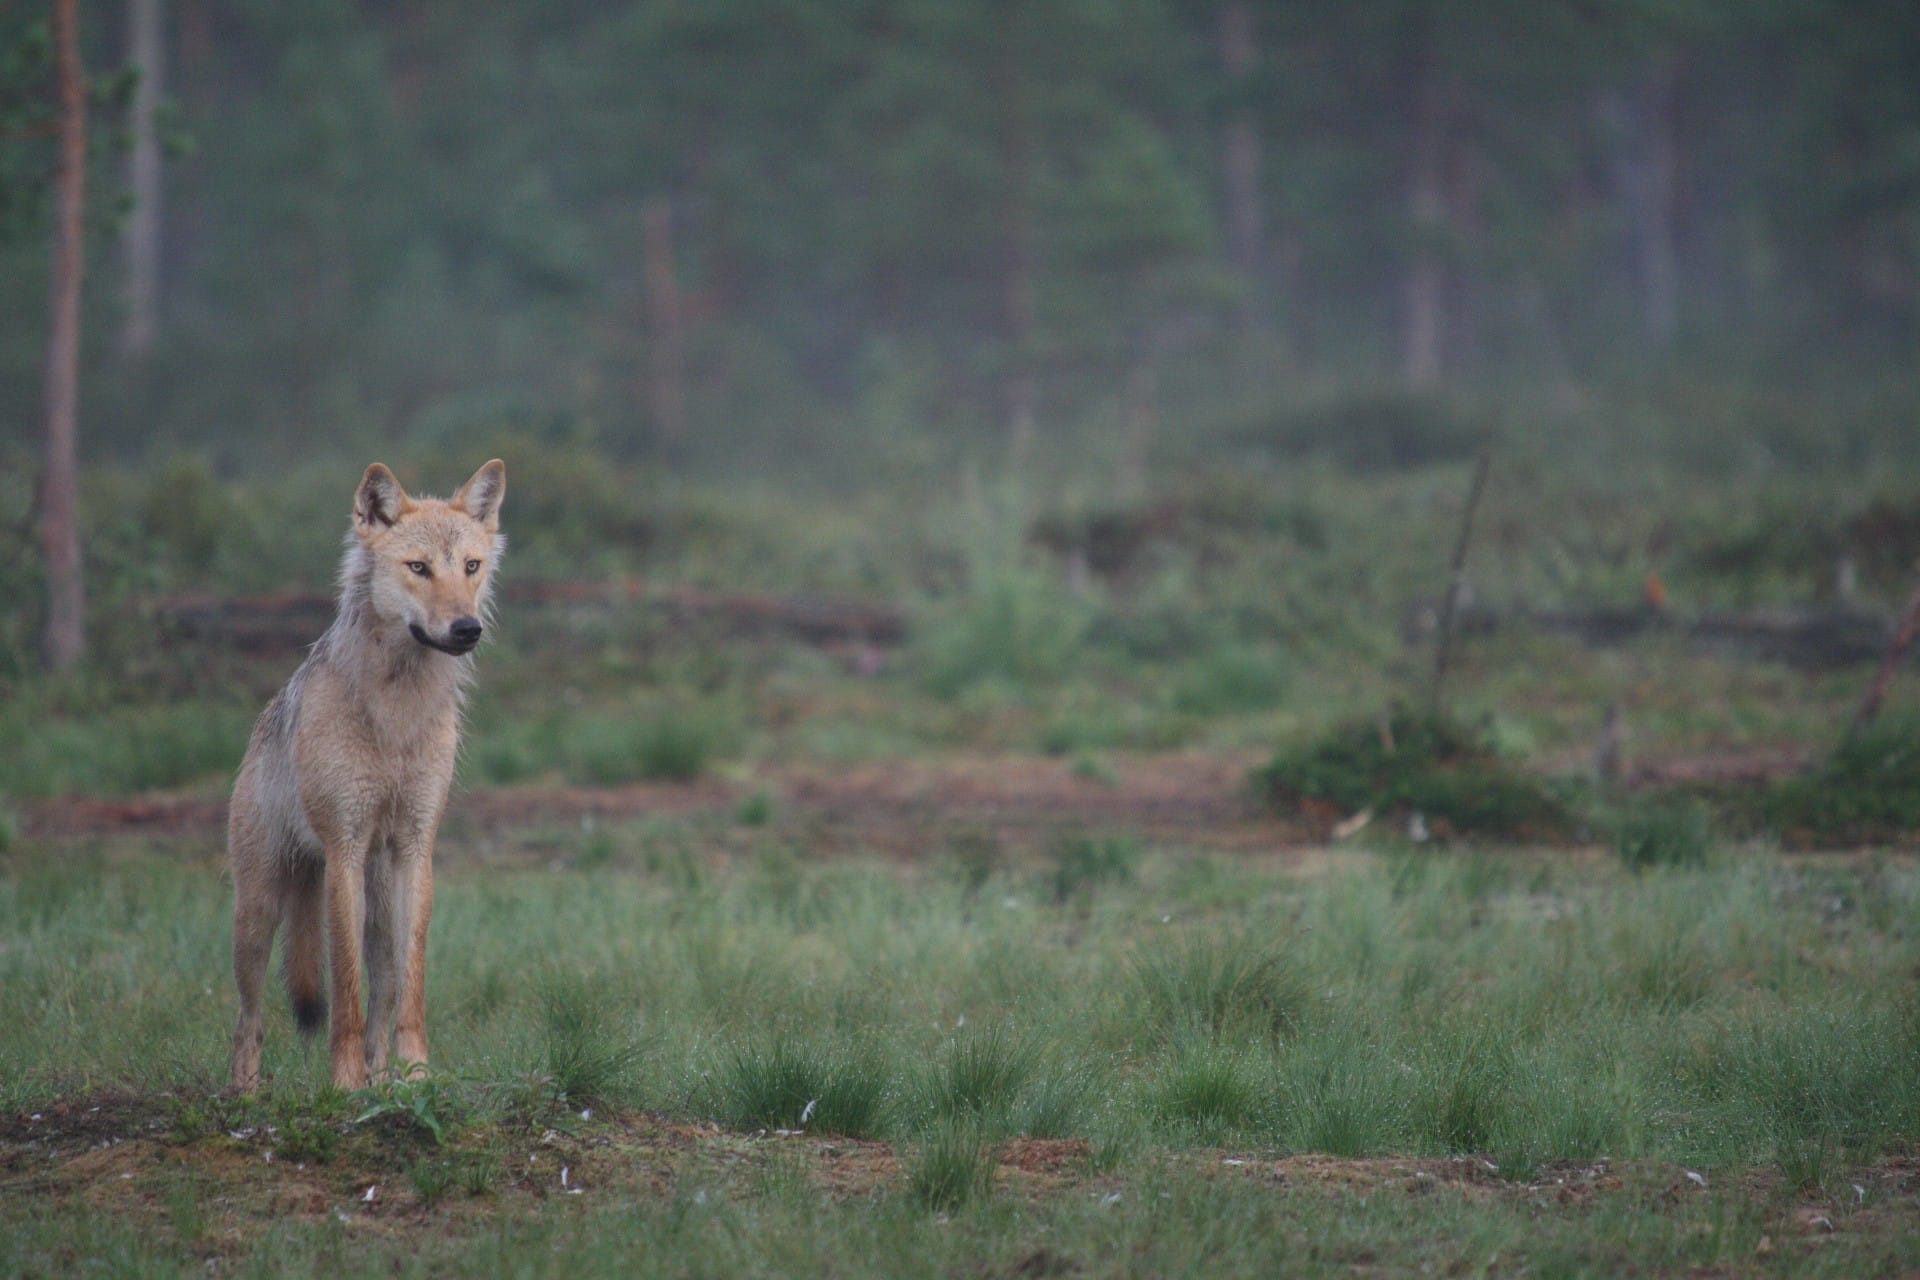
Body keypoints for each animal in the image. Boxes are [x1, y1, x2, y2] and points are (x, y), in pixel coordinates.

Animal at [226, 460, 503, 1090]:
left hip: (376, 903)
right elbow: (344, 987)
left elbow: (409, 986)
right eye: (419, 568)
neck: (396, 712)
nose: (466, 628)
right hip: (258, 912)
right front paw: (345, 1083)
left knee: (385, 986)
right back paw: (245, 1093)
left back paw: (383, 1076)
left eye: (471, 567)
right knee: (249, 1020)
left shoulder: (416, 849)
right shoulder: (344, 849)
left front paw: (416, 1075)